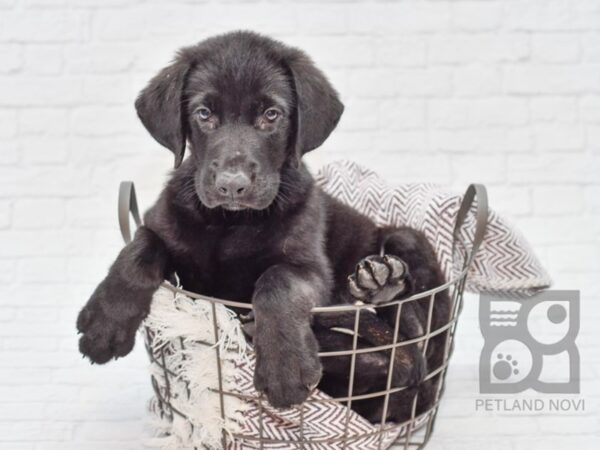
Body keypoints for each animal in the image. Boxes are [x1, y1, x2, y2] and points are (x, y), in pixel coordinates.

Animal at [76, 30, 450, 422]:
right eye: (204, 113)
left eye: (271, 115)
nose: (231, 185)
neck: (231, 222)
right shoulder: (164, 224)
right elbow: (141, 244)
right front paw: (104, 324)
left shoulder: (310, 268)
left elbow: (277, 280)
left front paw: (285, 369)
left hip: (406, 243)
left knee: (420, 345)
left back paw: (383, 284)